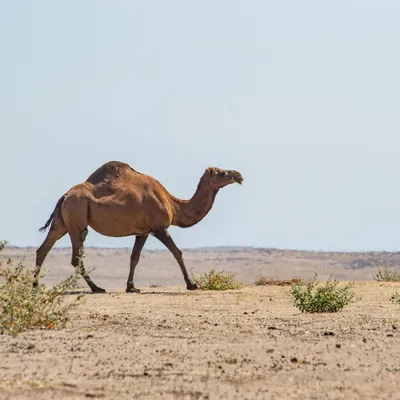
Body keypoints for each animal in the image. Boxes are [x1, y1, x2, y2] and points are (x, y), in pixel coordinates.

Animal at [34, 161, 242, 292]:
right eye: (221, 172)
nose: (238, 175)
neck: (173, 205)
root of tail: (65, 195)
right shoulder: (159, 228)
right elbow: (178, 253)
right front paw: (192, 284)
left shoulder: (143, 232)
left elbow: (134, 257)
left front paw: (131, 287)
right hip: (77, 215)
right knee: (76, 255)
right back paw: (97, 288)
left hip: (63, 221)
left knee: (43, 249)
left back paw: (35, 287)